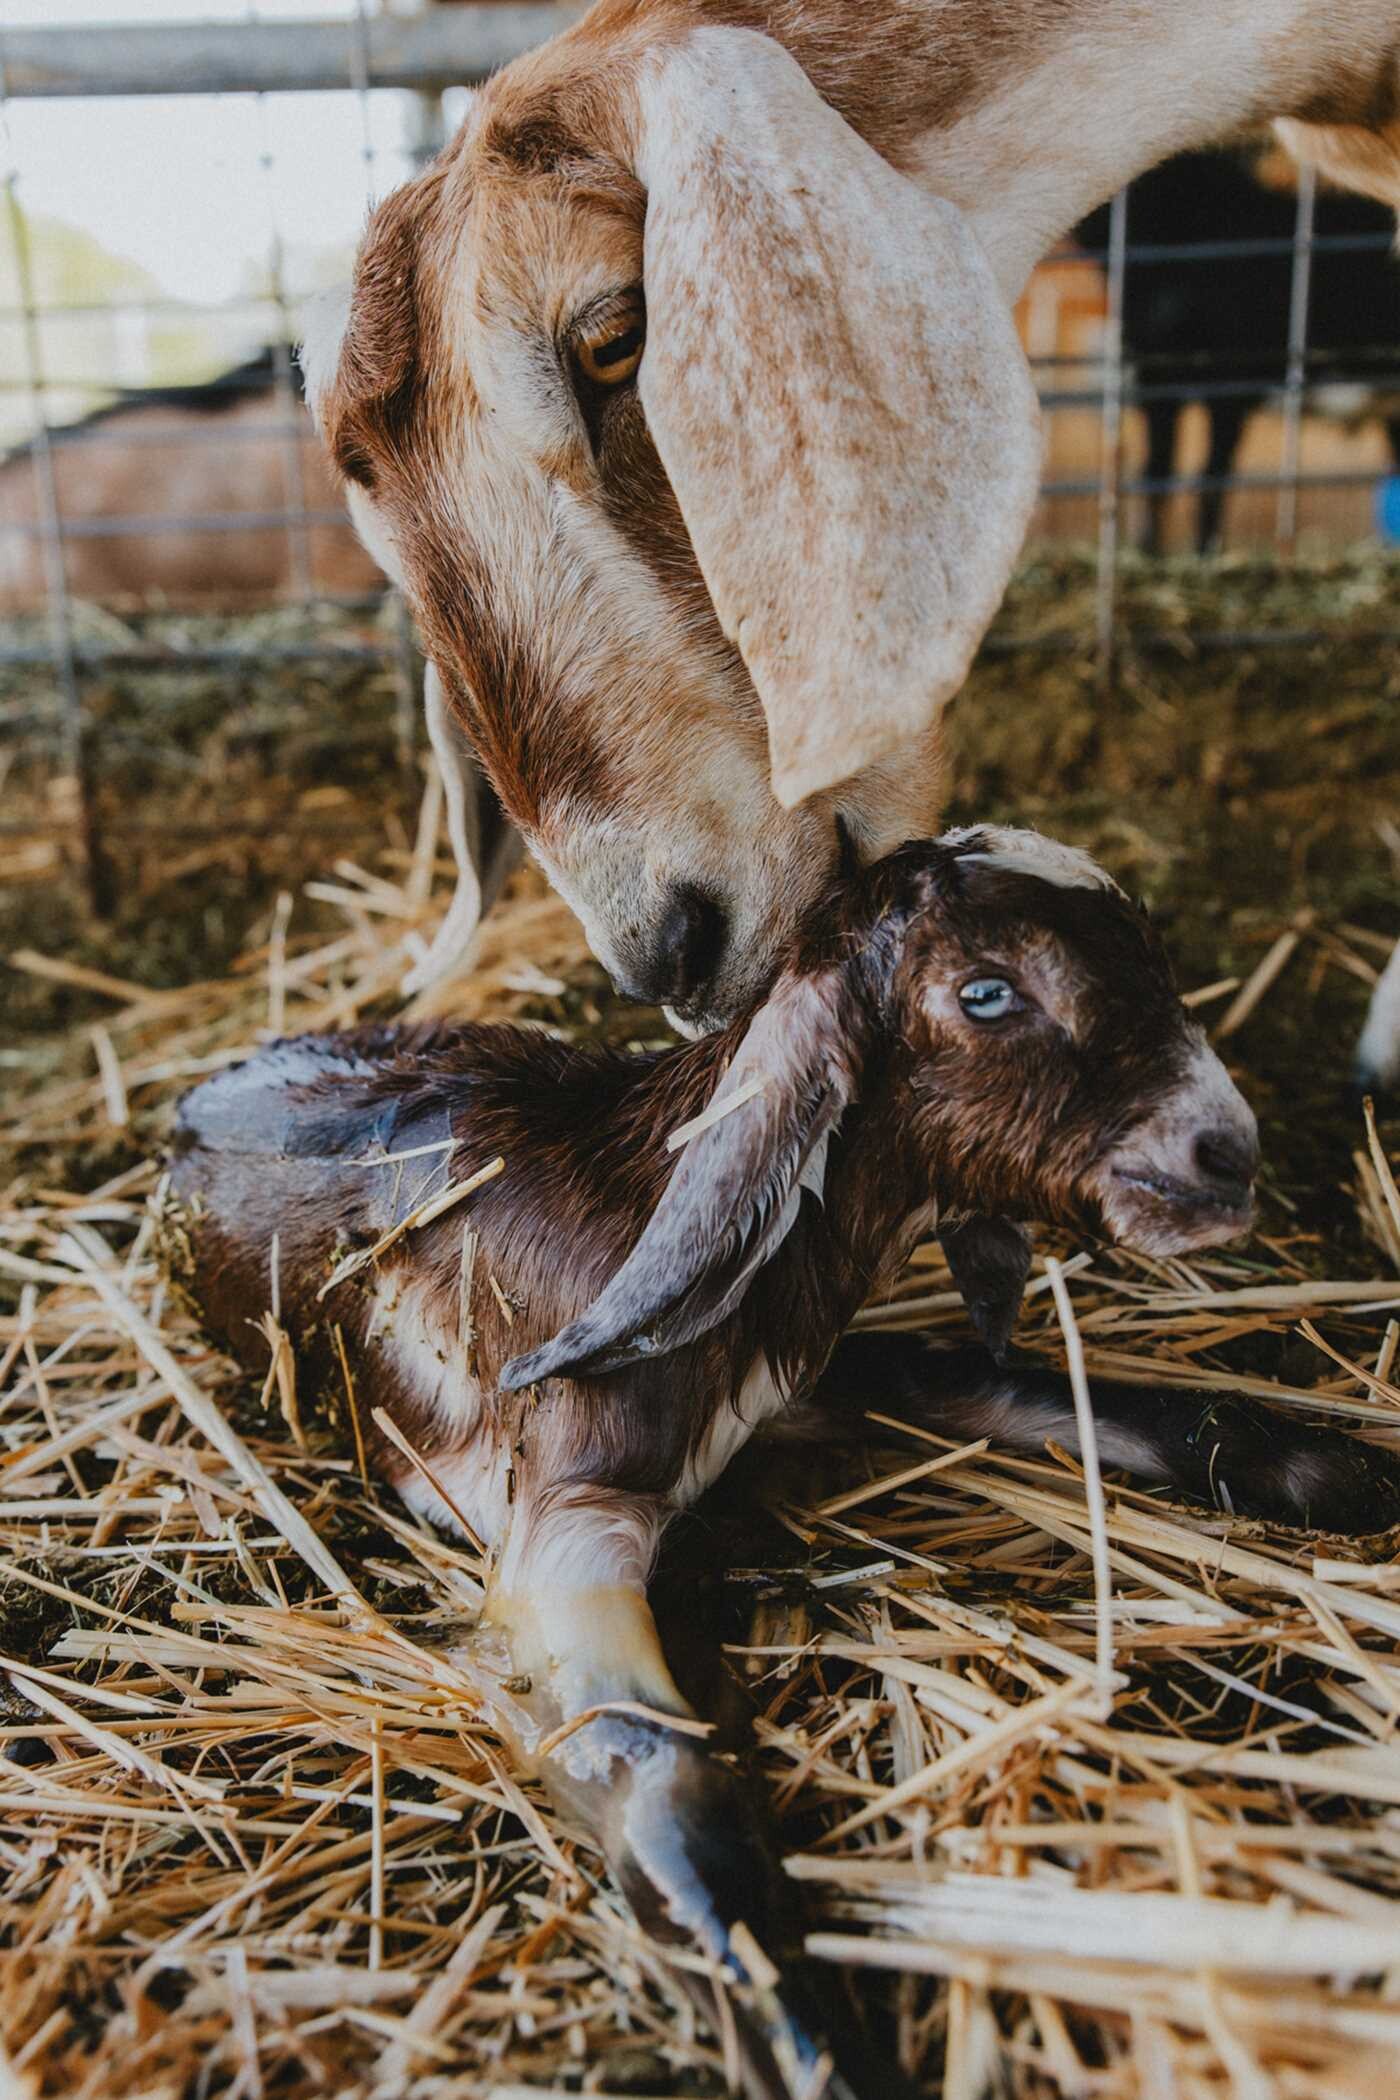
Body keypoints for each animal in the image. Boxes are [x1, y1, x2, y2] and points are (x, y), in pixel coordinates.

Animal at [168, 827, 1400, 2098]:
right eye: (987, 991)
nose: (1226, 1150)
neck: (630, 1199)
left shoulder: (778, 1373)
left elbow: (988, 1385)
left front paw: (1324, 1471)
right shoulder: (569, 1523)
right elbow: (650, 1764)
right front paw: (819, 2051)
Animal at [1076, 149, 1400, 556]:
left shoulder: (1232, 382)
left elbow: (1211, 477)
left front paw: (1205, 553)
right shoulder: (1157, 375)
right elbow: (1156, 471)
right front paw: (1149, 552)